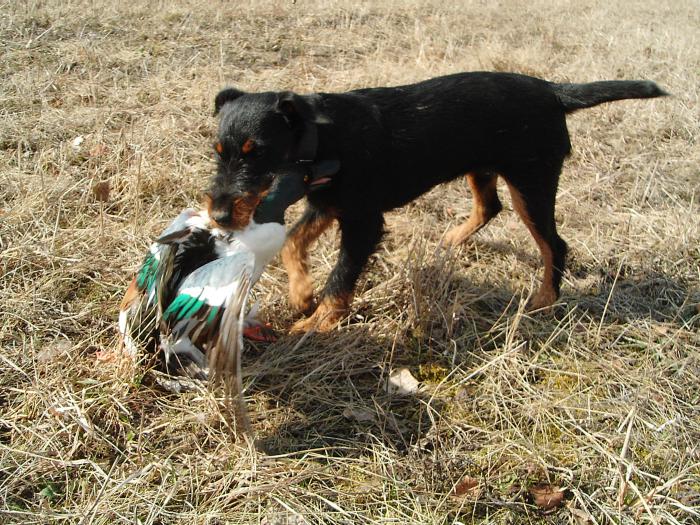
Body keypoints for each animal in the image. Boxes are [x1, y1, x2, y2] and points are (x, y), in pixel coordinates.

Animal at [208, 72, 668, 332]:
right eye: (219, 152)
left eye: (257, 153)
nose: (218, 215)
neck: (323, 137)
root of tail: (554, 92)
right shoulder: (326, 204)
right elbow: (292, 242)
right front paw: (302, 295)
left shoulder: (363, 221)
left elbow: (340, 277)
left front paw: (317, 322)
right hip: (482, 167)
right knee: (489, 207)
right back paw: (452, 240)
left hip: (532, 182)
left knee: (554, 244)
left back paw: (542, 301)